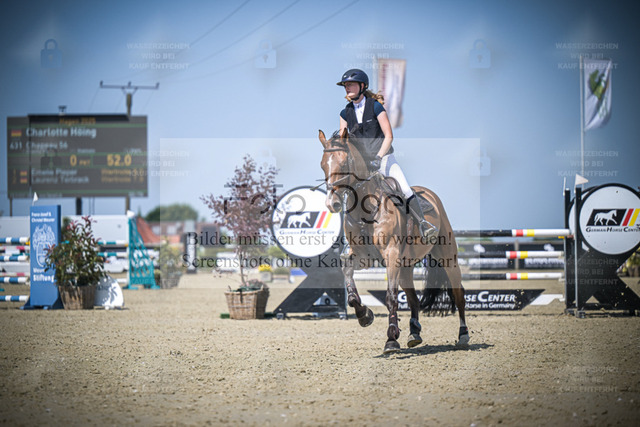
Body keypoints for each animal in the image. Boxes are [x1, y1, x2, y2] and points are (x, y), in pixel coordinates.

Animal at [318, 129, 469, 354]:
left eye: (344, 163)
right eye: (323, 164)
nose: (332, 203)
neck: (365, 209)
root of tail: (431, 195)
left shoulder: (391, 255)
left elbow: (391, 296)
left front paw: (391, 338)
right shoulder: (363, 258)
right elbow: (348, 276)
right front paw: (364, 315)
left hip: (448, 258)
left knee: (458, 294)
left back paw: (463, 335)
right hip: (406, 266)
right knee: (414, 300)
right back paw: (414, 333)